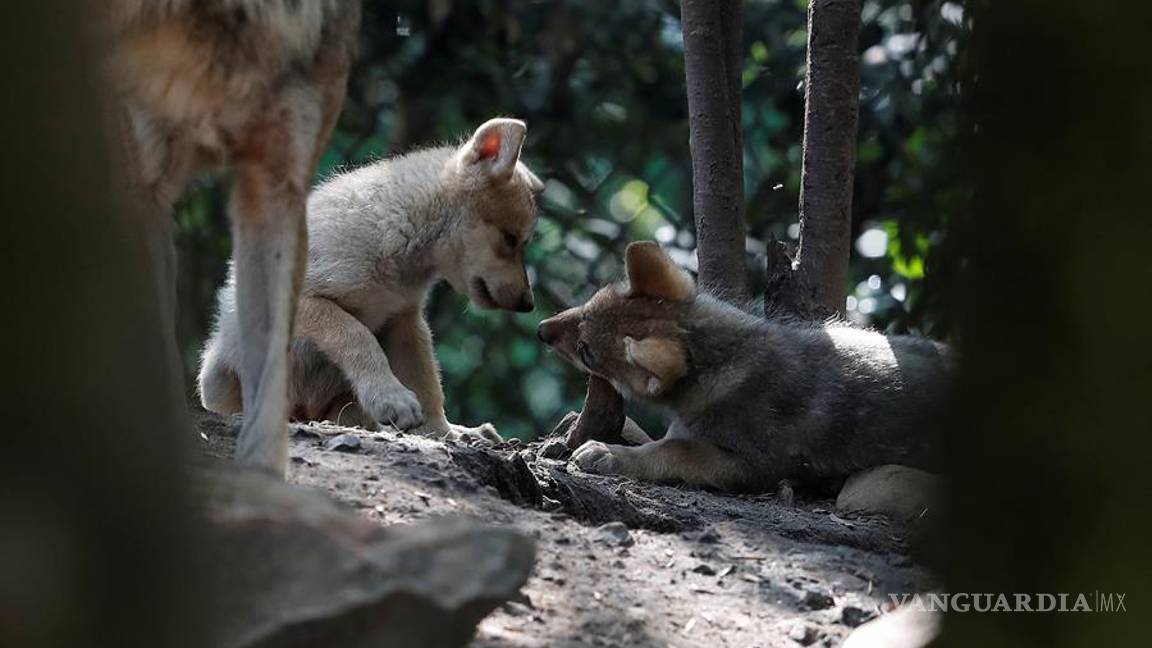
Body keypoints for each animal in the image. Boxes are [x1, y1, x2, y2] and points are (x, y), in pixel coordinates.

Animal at [199, 118, 544, 441]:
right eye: (511, 239)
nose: (529, 305)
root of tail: (304, 413)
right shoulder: (303, 299)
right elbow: (356, 336)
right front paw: (392, 399)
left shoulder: (404, 318)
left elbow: (426, 382)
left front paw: (443, 432)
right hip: (216, 375)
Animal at [537, 242, 950, 491]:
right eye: (588, 304)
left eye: (587, 352)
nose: (541, 329)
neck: (731, 356)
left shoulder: (754, 467)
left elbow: (674, 451)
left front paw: (610, 454)